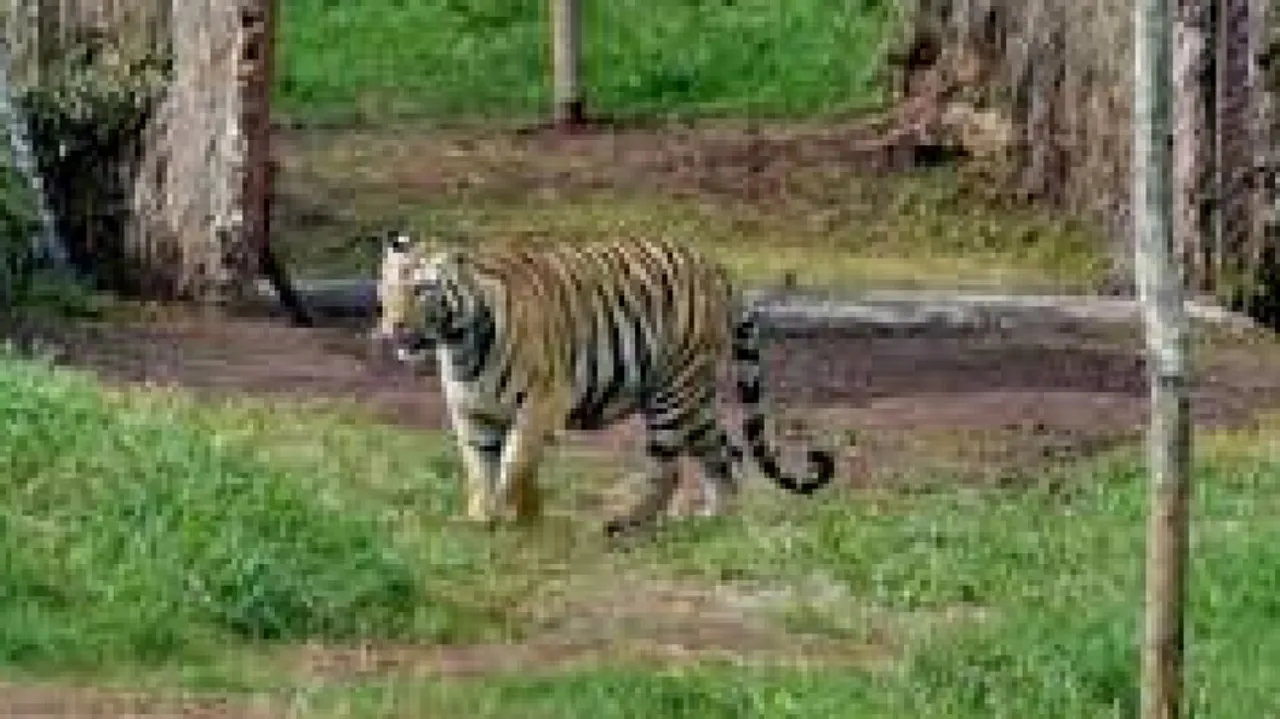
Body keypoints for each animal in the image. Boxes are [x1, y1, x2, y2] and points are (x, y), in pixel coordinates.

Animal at [371, 230, 835, 537]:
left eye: (423, 289)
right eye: (386, 288)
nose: (393, 328)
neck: (460, 345)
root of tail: (716, 268)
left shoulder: (541, 401)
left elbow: (516, 465)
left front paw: (513, 515)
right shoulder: (472, 411)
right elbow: (479, 467)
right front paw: (485, 516)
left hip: (673, 392)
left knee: (667, 470)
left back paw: (626, 525)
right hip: (695, 400)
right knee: (723, 452)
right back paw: (716, 520)